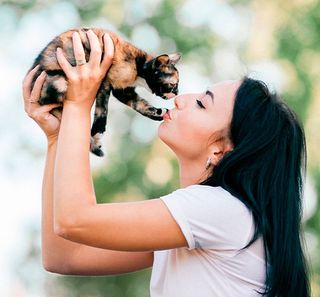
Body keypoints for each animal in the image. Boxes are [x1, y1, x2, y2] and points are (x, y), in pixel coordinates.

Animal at [30, 27, 180, 156]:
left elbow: (139, 105)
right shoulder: (106, 82)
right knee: (50, 100)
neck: (139, 66)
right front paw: (97, 134)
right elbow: (102, 110)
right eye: (173, 84)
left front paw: (158, 112)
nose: (177, 93)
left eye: (177, 85)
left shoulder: (123, 91)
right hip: (57, 82)